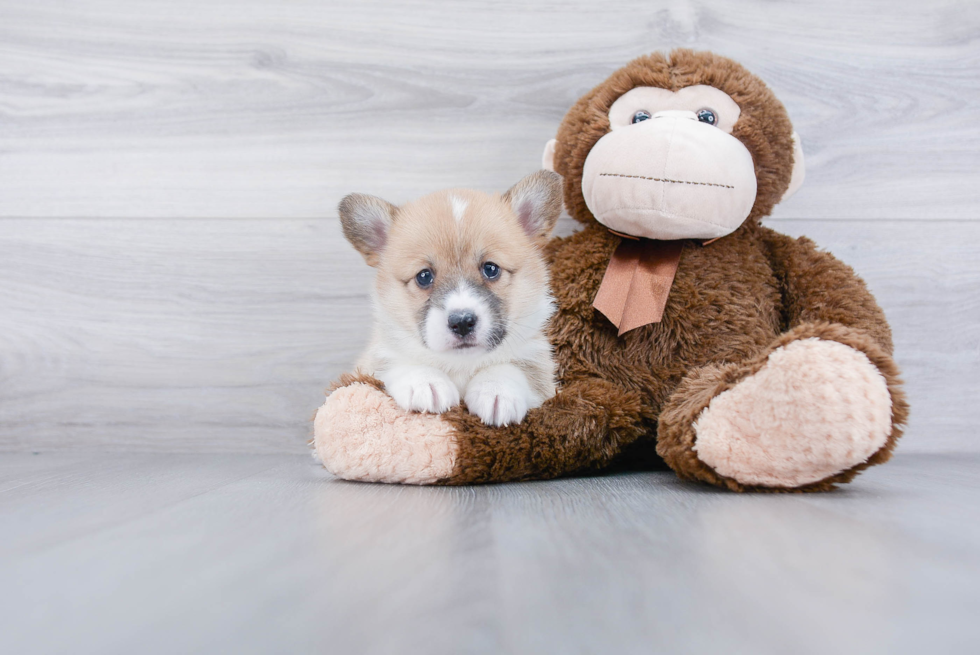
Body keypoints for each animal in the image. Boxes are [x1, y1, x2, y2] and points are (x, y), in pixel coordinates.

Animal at [338, 169, 564, 426]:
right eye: (424, 276)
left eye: (491, 269)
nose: (462, 322)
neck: (461, 364)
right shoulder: (370, 364)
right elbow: (397, 362)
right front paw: (425, 382)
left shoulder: (541, 372)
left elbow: (514, 368)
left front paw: (496, 390)